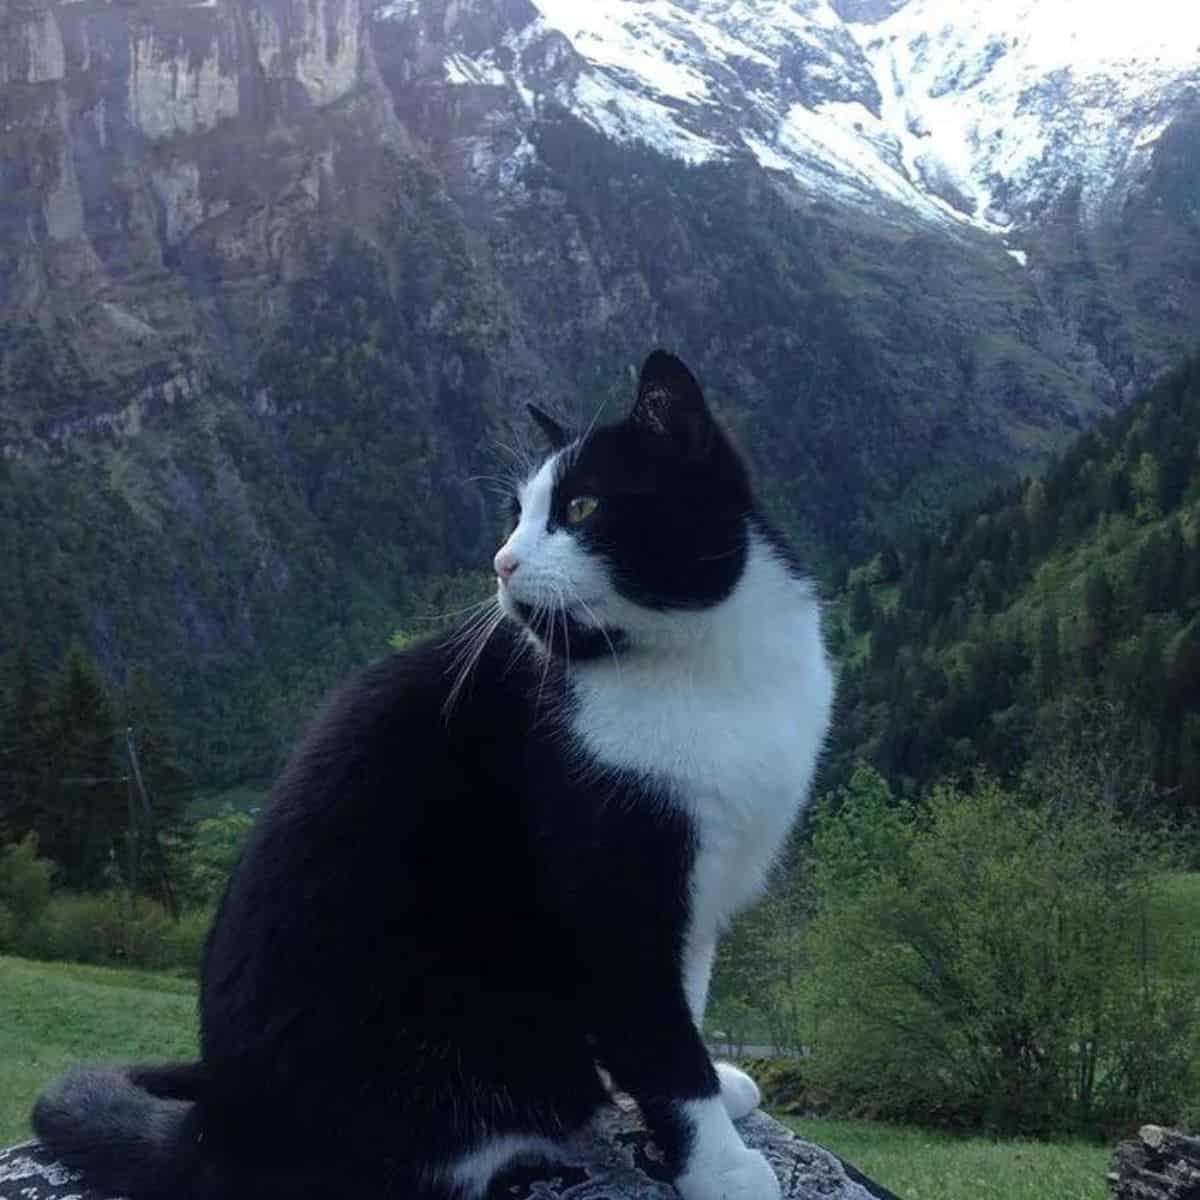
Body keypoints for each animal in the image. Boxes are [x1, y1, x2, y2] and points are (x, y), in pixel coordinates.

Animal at [30, 350, 835, 1200]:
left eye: (581, 506)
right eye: (516, 514)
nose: (502, 561)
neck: (703, 666)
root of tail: (218, 1126)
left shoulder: (699, 892)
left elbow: (688, 994)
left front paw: (709, 1095)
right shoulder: (610, 890)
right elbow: (660, 1041)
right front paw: (719, 1165)